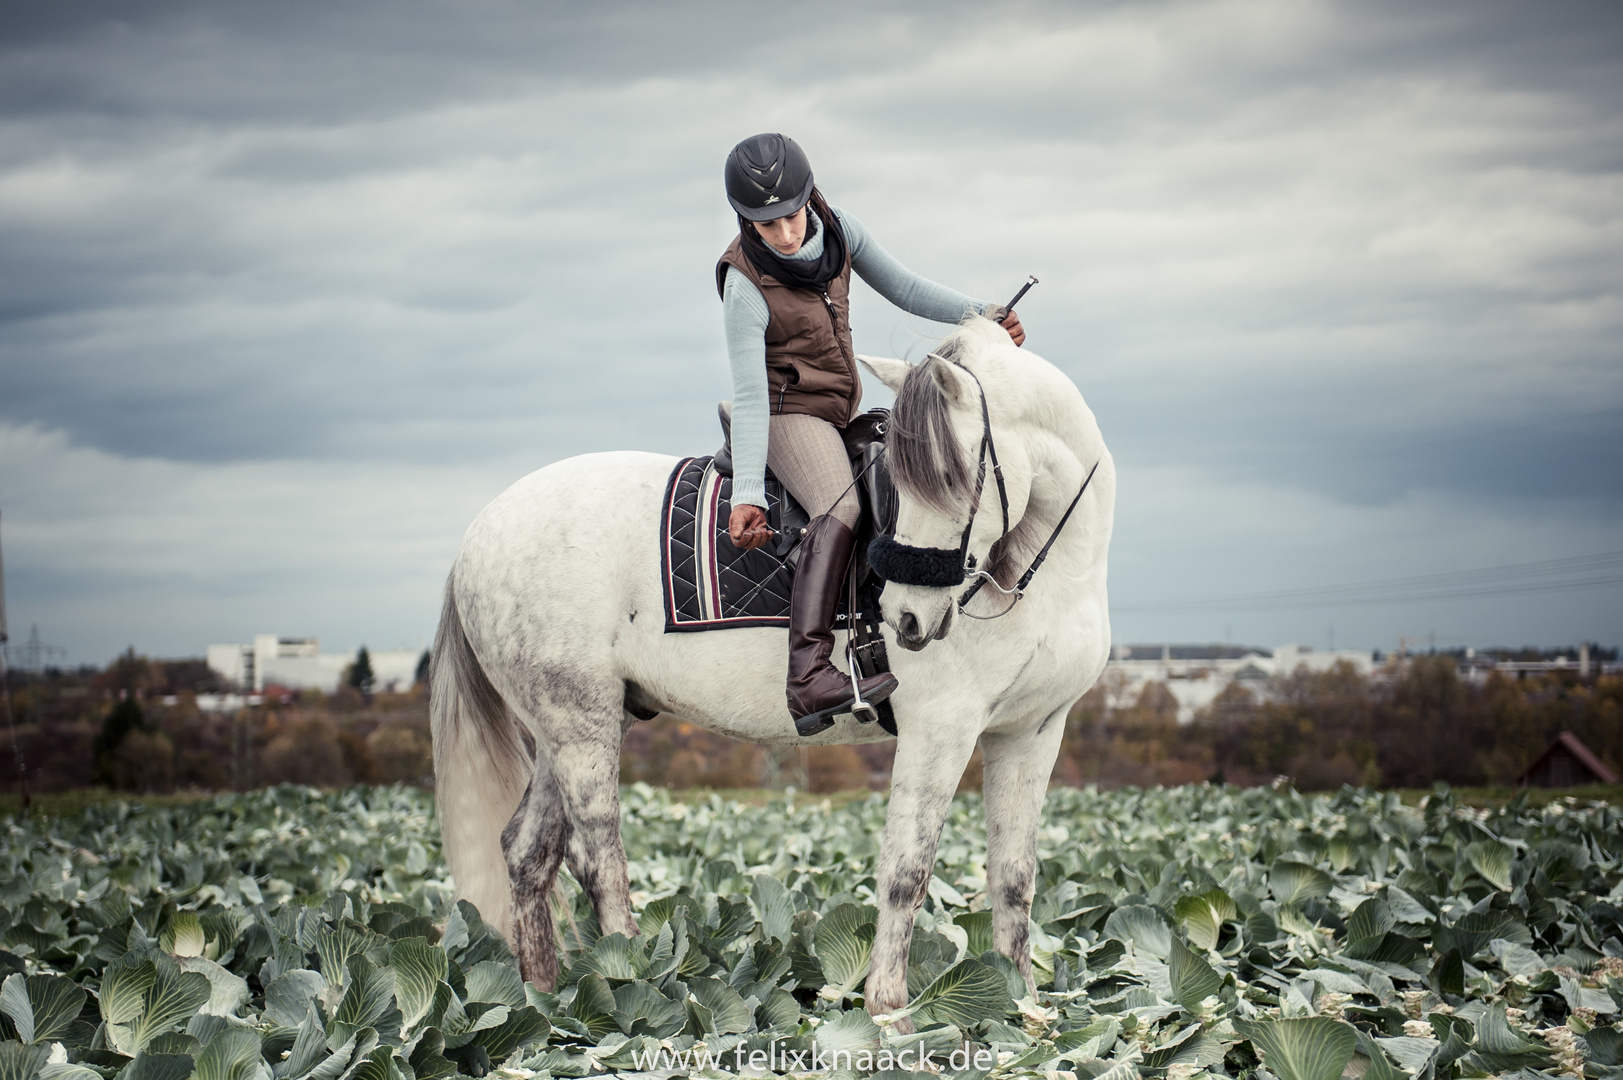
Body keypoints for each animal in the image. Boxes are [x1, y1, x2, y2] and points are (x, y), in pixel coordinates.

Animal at [428, 313, 1116, 1019]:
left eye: (952, 478)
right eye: (906, 482)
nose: (904, 618)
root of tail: (481, 530)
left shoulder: (1030, 734)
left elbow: (1014, 877)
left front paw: (1024, 1006)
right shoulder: (941, 731)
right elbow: (906, 872)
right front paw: (889, 1010)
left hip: (566, 729)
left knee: (529, 854)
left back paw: (541, 1001)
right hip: (581, 726)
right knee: (597, 858)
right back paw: (631, 985)